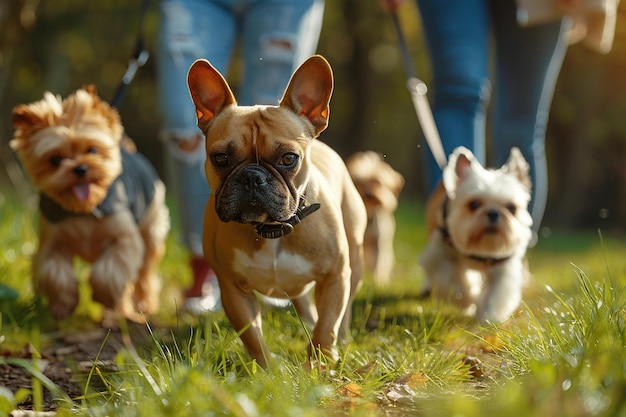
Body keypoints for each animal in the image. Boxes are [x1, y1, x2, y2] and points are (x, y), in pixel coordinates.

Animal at [12, 86, 168, 324]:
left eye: (92, 150)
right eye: (55, 160)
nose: (80, 168)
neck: (82, 210)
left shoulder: (124, 240)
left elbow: (109, 273)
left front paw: (104, 297)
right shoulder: (52, 243)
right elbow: (55, 273)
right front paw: (63, 305)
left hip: (150, 230)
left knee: (145, 272)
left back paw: (139, 306)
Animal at [188, 53, 368, 366]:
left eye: (288, 158)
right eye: (220, 158)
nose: (252, 177)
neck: (272, 227)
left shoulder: (335, 277)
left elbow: (327, 326)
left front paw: (320, 365)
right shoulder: (233, 290)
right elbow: (253, 337)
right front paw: (268, 370)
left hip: (354, 261)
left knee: (341, 315)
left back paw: (341, 342)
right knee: (305, 305)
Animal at [344, 151, 402, 284]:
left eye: (377, 182)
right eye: (358, 182)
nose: (368, 194)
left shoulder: (377, 240)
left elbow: (377, 262)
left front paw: (378, 280)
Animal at [420, 146, 532, 322]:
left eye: (511, 208)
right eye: (474, 204)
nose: (493, 213)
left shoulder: (502, 267)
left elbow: (495, 294)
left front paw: (488, 317)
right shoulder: (440, 255)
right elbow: (453, 284)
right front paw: (469, 300)